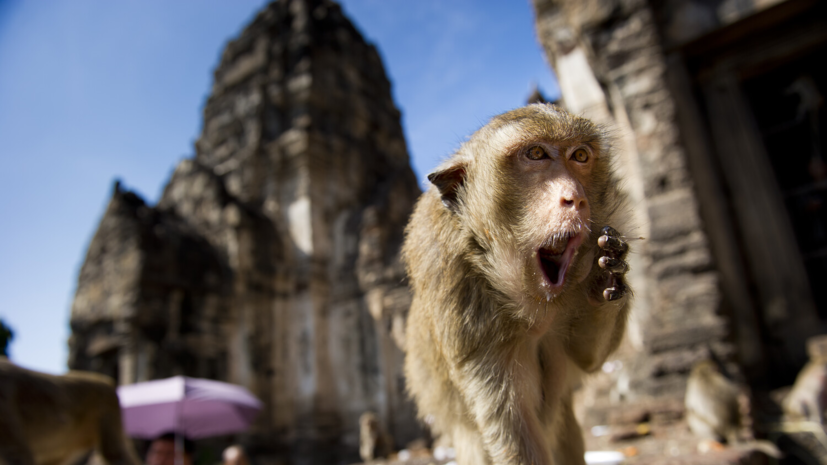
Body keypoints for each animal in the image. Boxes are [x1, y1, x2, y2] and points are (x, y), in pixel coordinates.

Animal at [404, 104, 632, 464]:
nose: (575, 198)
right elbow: (512, 421)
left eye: (580, 156)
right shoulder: (458, 295)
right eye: (536, 154)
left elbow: (588, 358)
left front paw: (604, 280)